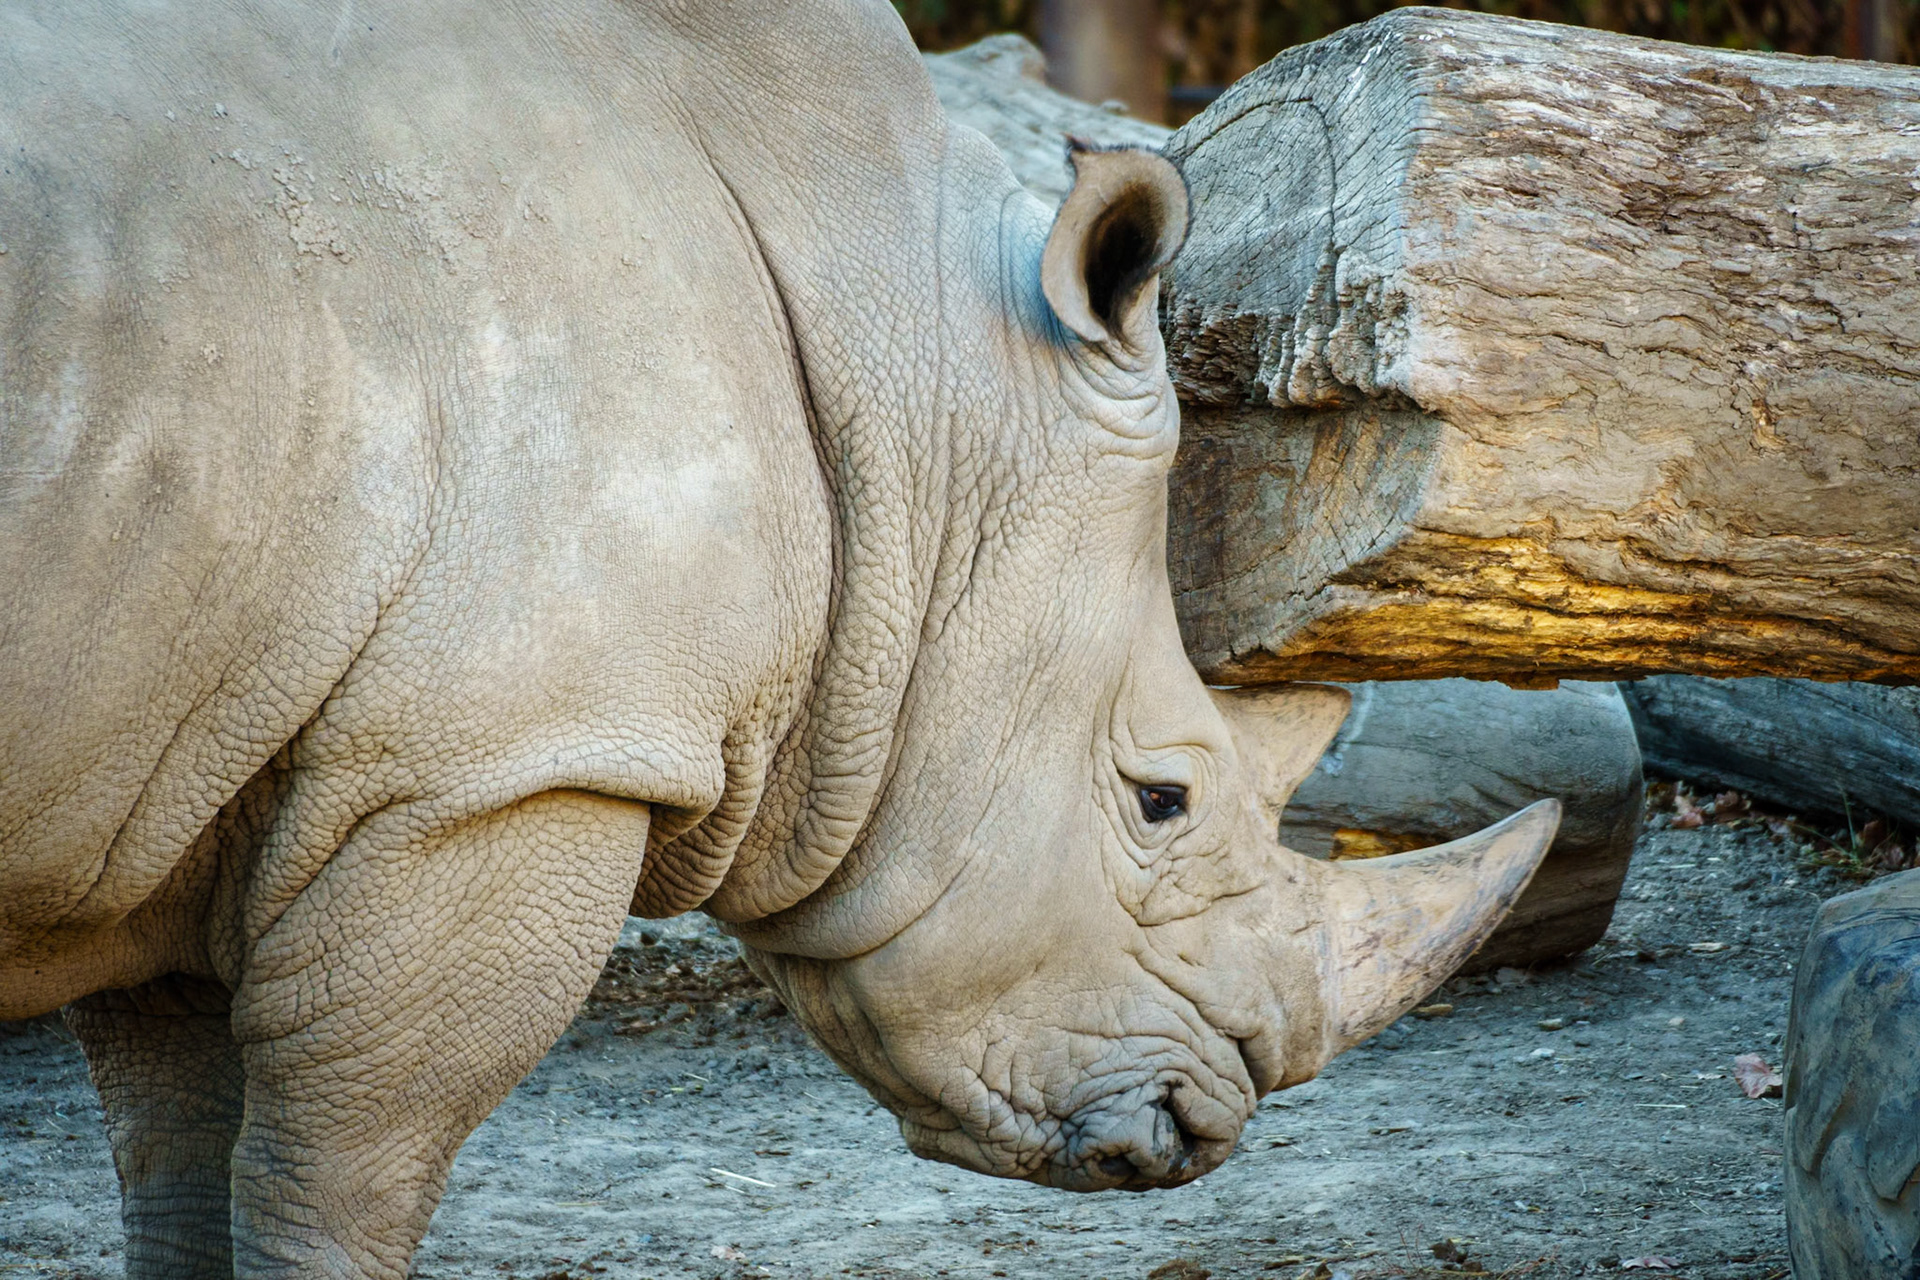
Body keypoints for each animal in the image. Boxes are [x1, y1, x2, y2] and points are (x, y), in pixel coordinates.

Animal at [0, 1, 1559, 1275]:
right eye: (1161, 801)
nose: (1199, 1123)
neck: (922, 391)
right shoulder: (499, 767)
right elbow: (342, 1174)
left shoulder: (193, 760)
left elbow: (182, 1161)